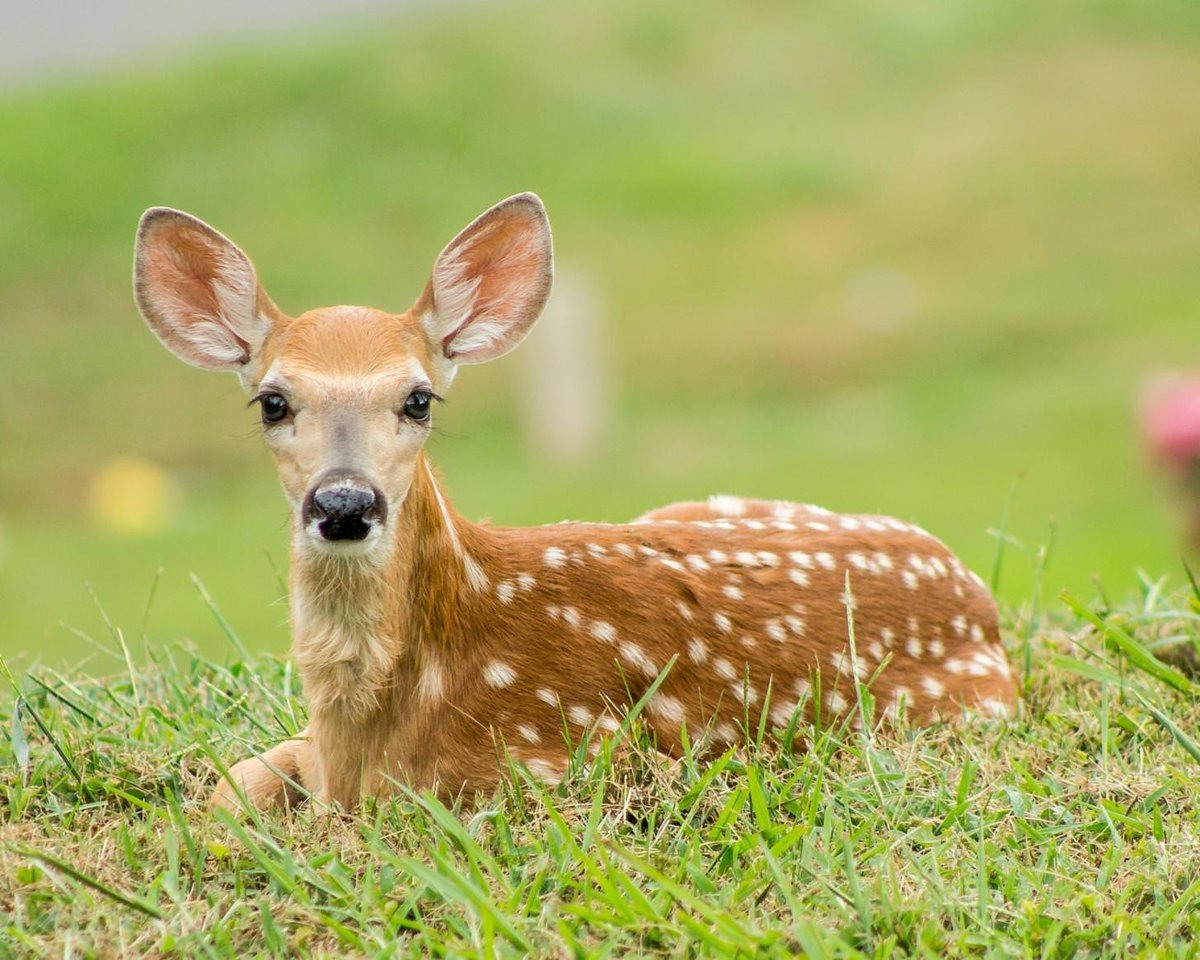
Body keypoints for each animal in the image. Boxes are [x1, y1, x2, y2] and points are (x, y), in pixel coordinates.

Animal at [129, 193, 1012, 811]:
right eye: (273, 401)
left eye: (418, 399)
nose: (345, 502)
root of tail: (981, 603)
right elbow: (229, 791)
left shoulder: (573, 753)